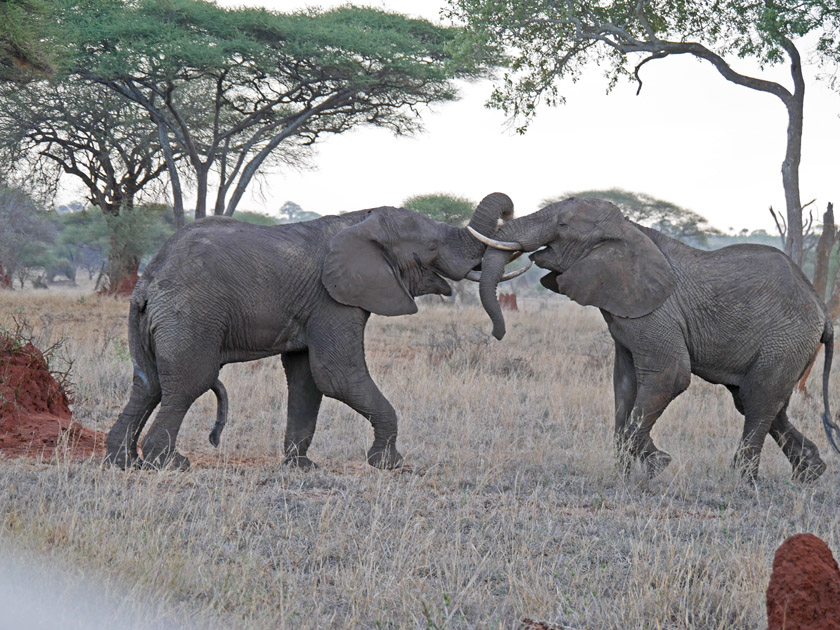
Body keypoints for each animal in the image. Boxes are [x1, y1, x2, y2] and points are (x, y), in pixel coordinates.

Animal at [101, 195, 528, 472]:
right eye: (432, 246)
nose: (498, 334)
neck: (360, 220)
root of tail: (148, 280)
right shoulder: (331, 298)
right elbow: (336, 375)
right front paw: (389, 464)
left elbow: (307, 379)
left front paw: (302, 467)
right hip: (190, 315)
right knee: (189, 382)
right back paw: (170, 464)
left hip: (152, 320)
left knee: (148, 384)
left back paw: (123, 462)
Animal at [472, 198, 840, 484]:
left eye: (562, 225)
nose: (497, 334)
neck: (628, 229)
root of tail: (821, 309)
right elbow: (624, 384)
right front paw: (624, 473)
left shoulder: (656, 312)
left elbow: (670, 376)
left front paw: (657, 465)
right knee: (757, 399)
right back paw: (810, 474)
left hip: (787, 337)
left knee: (758, 397)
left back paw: (743, 481)